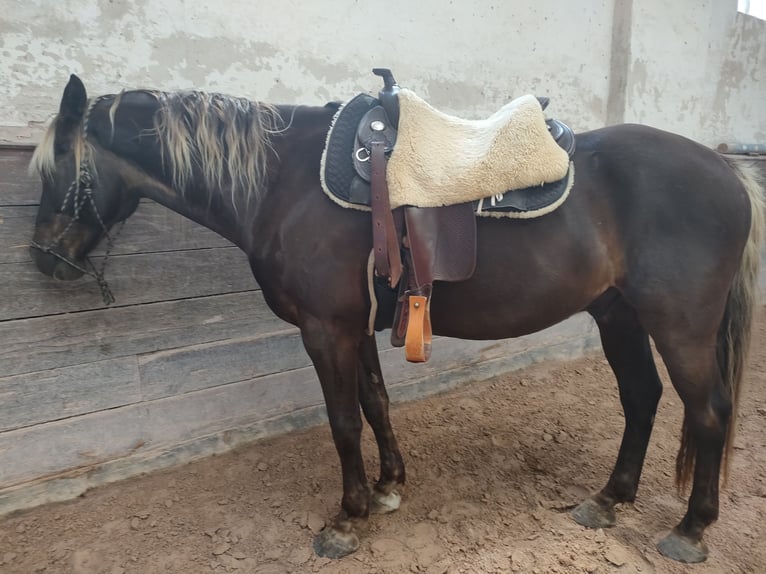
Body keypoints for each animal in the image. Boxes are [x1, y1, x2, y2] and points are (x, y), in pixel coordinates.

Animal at [29, 74, 763, 564]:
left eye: (56, 165)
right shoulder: (354, 325)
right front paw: (387, 489)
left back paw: (690, 530)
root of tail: (727, 171)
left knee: (708, 414)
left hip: (681, 326)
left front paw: (347, 518)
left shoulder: (325, 329)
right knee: (642, 397)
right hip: (619, 316)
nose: (43, 259)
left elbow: (343, 422)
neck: (285, 183)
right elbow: (376, 403)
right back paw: (608, 500)